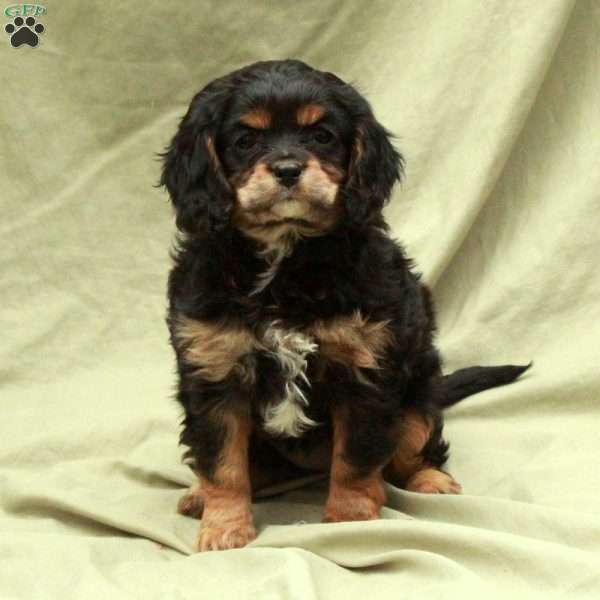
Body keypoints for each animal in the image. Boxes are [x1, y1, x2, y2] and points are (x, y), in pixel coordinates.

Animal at [159, 58, 528, 552]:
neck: (286, 258)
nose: (288, 169)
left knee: (414, 446)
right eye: (244, 141)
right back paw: (198, 493)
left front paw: (350, 520)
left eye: (322, 136)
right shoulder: (215, 371)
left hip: (416, 399)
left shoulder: (364, 368)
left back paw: (430, 479)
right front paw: (224, 529)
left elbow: (355, 456)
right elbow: (222, 462)